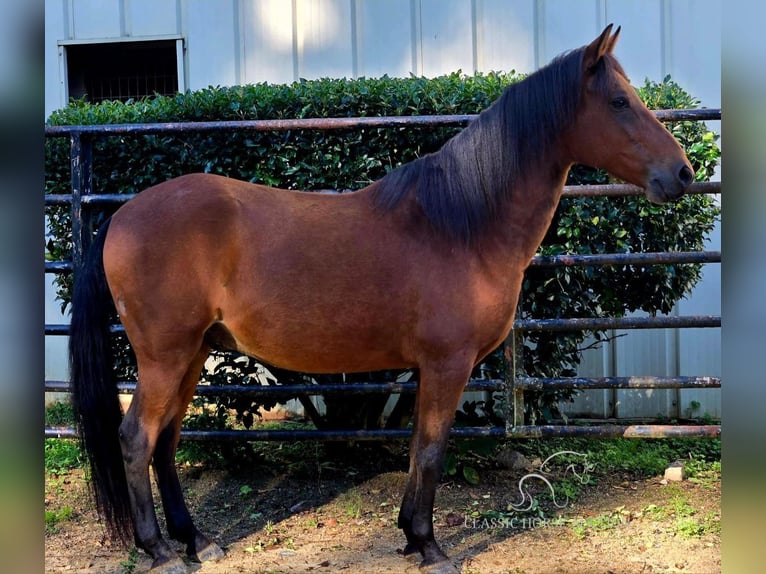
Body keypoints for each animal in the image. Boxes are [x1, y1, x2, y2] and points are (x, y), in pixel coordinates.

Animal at [70, 27, 696, 574]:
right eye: (619, 101)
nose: (684, 174)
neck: (461, 224)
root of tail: (122, 216)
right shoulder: (447, 365)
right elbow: (431, 450)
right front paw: (430, 546)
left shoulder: (428, 368)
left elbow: (418, 445)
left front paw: (410, 537)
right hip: (165, 356)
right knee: (137, 439)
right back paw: (161, 551)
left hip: (194, 353)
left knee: (167, 440)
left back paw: (197, 539)